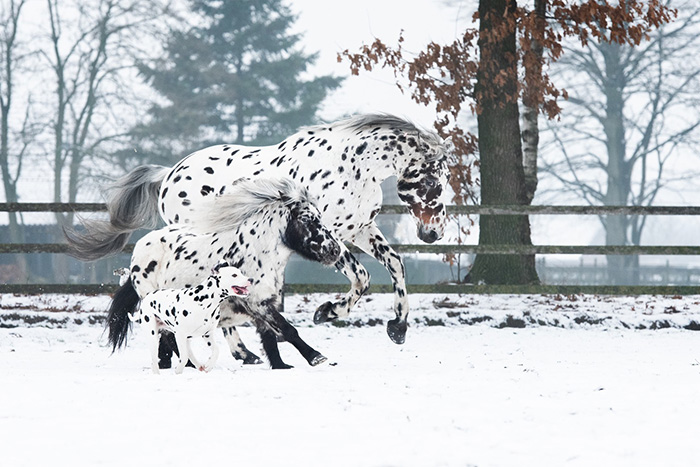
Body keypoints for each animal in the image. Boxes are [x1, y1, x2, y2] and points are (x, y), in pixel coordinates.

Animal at [64, 113, 448, 354]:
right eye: (433, 183)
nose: (433, 233)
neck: (351, 166)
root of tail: (169, 172)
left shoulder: (360, 229)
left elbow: (396, 266)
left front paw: (398, 328)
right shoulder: (331, 236)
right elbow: (362, 277)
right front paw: (328, 312)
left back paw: (242, 352)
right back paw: (241, 352)